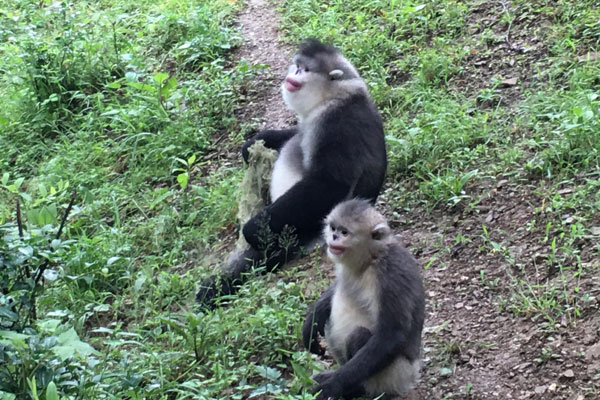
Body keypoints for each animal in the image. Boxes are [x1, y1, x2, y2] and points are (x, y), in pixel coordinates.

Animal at [195, 39, 386, 306]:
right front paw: (253, 144)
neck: (332, 98)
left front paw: (253, 230)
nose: (293, 74)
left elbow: (329, 183)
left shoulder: (339, 124)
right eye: (297, 66)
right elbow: (294, 134)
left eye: (305, 70)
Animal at [302, 200, 424, 400]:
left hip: (393, 376)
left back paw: (354, 389)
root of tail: (412, 376)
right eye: (333, 228)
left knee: (358, 335)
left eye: (344, 232)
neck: (370, 260)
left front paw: (332, 386)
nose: (333, 237)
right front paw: (312, 321)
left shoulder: (391, 272)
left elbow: (391, 334)